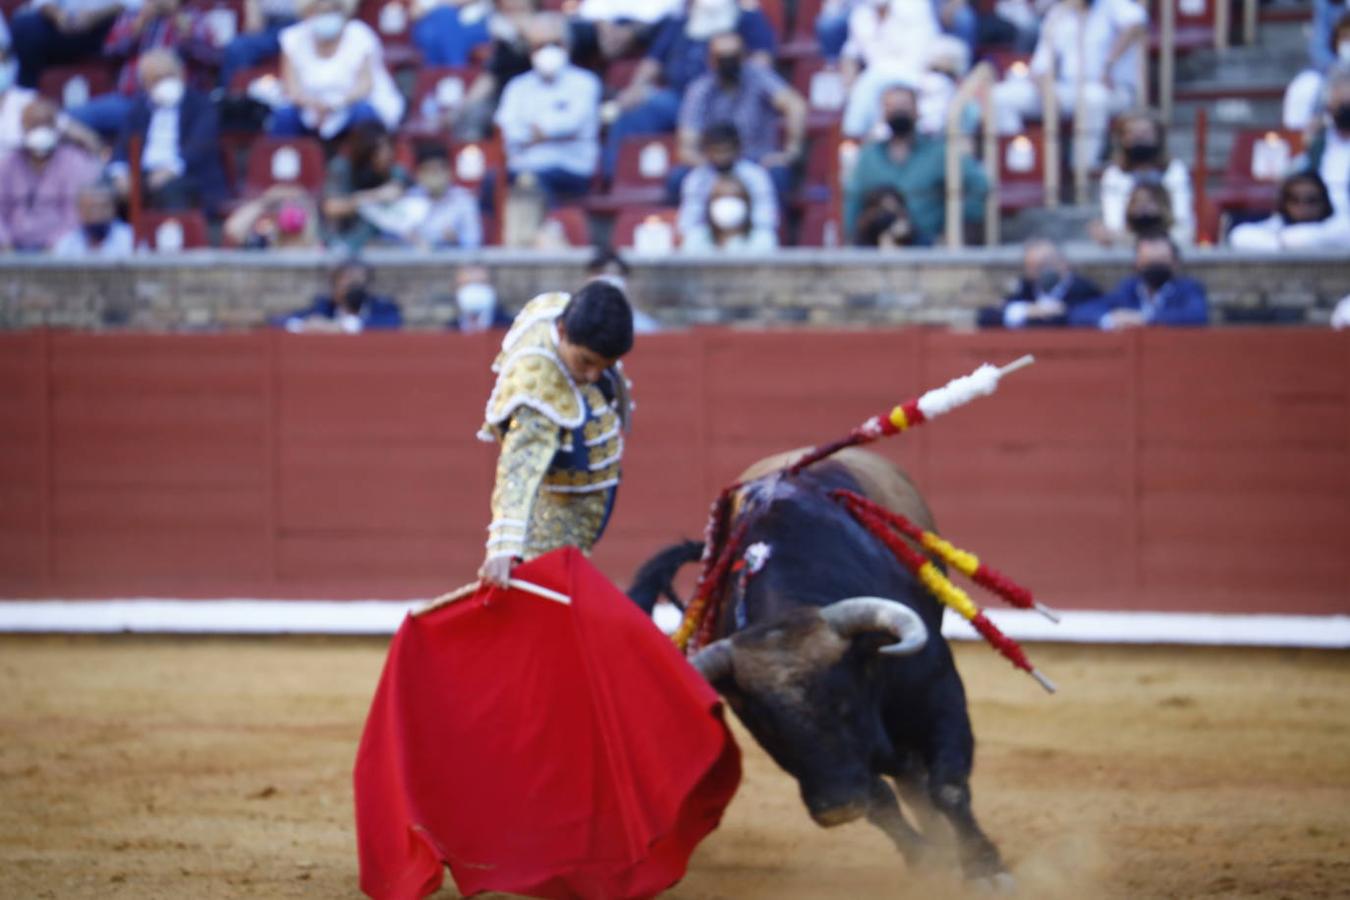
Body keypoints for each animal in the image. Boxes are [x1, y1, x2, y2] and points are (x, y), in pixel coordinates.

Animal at [631, 447, 1015, 885]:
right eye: (770, 729)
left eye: (845, 705)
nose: (837, 807)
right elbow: (881, 801)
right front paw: (927, 861)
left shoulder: (940, 694)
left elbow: (948, 786)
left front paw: (986, 869)